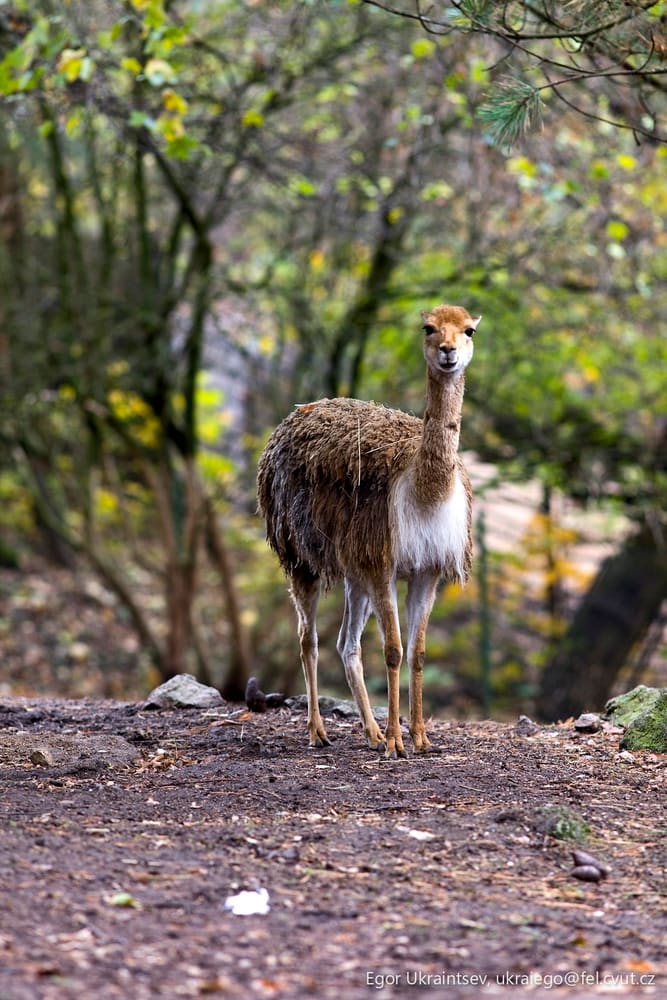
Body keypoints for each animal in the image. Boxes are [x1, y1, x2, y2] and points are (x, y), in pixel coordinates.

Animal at [257, 304, 480, 758]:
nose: (448, 351)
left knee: (346, 643)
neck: (426, 493)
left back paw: (371, 731)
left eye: (469, 330)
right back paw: (319, 731)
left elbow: (418, 653)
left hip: (353, 570)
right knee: (308, 639)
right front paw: (397, 742)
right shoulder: (383, 562)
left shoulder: (427, 569)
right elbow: (393, 650)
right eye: (428, 328)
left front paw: (420, 738)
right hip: (299, 554)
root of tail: (297, 413)